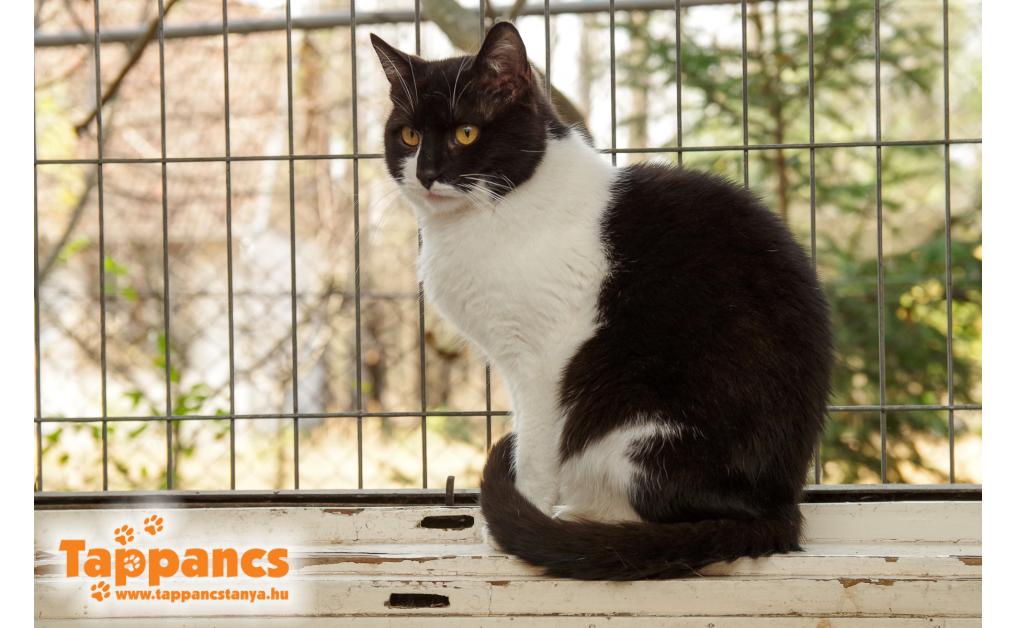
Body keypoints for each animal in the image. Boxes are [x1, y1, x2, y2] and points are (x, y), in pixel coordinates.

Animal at [370, 22, 832, 580]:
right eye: (410, 136)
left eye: (467, 133)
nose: (426, 173)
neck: (493, 211)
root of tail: (782, 507)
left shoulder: (544, 357)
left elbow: (536, 448)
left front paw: (511, 529)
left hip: (635, 414)